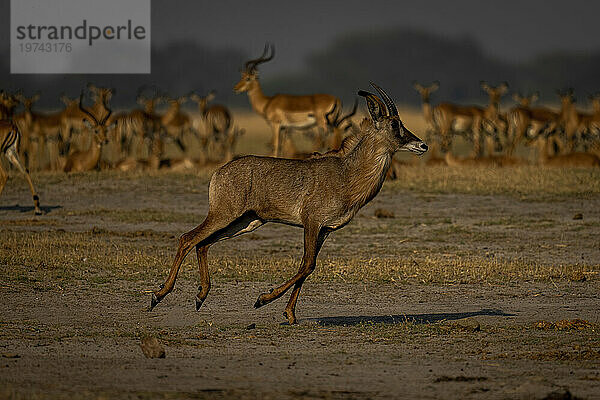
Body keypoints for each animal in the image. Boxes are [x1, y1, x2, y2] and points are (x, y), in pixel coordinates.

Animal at [150, 83, 432, 324]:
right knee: (188, 238)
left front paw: (290, 314)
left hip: (246, 222)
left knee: (203, 244)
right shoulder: (311, 222)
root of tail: (220, 171)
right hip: (223, 214)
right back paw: (158, 296)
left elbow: (308, 267)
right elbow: (307, 264)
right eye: (394, 124)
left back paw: (200, 296)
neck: (347, 173)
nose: (422, 145)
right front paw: (263, 299)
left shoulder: (325, 230)